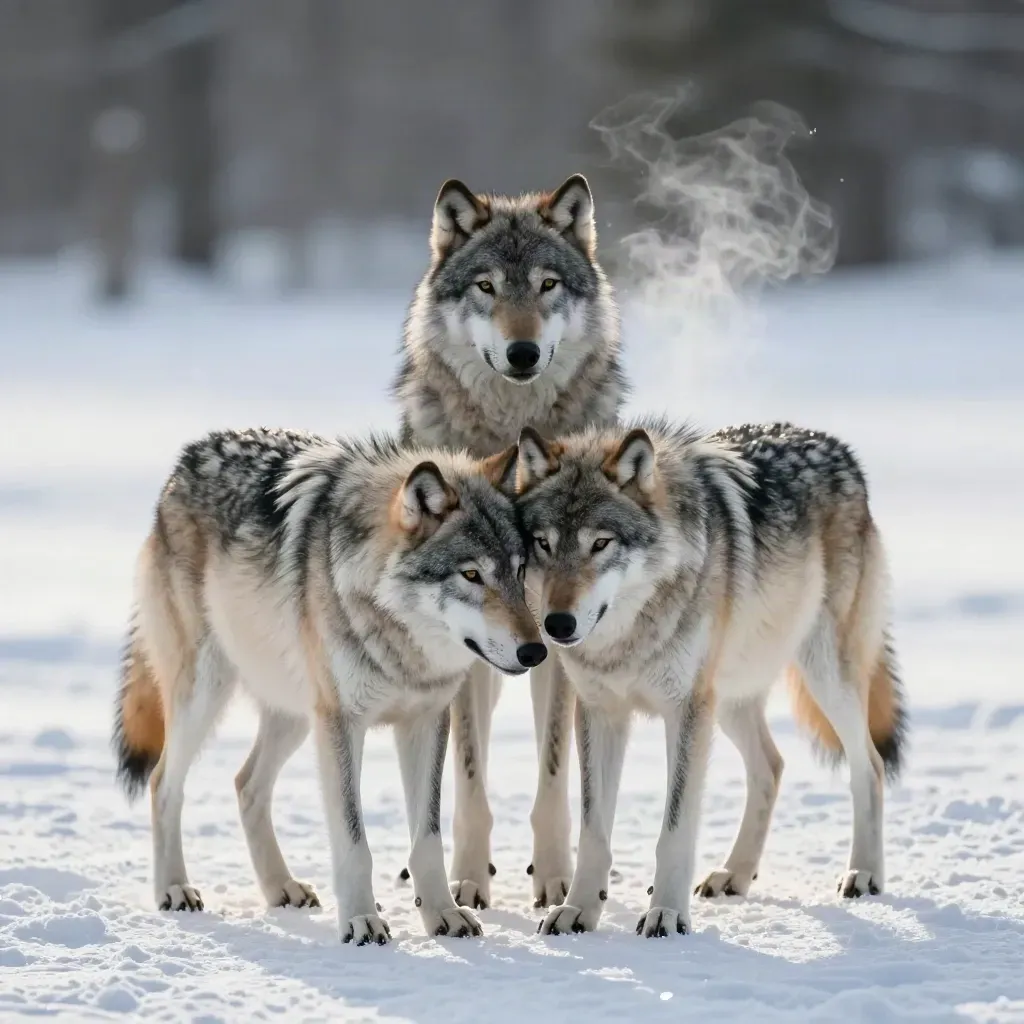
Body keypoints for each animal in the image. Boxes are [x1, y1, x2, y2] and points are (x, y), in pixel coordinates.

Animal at [112, 427, 540, 944]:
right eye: (472, 574)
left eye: (519, 571)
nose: (535, 651)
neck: (399, 642)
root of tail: (185, 463)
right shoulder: (342, 723)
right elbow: (354, 842)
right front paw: (361, 921)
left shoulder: (425, 722)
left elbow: (428, 839)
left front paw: (443, 914)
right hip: (208, 694)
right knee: (163, 783)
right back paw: (174, 888)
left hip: (296, 714)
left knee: (246, 784)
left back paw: (280, 887)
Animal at [392, 174, 627, 909]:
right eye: (487, 287)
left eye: (547, 284)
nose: (522, 352)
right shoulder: (472, 637)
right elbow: (467, 771)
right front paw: (466, 875)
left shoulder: (558, 631)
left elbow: (553, 769)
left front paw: (555, 875)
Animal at [514, 420, 907, 937]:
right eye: (543, 543)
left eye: (600, 543)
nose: (558, 624)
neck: (629, 637)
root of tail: (837, 447)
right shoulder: (600, 712)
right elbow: (593, 830)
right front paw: (578, 909)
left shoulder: (685, 710)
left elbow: (675, 828)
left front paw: (666, 914)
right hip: (729, 701)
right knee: (771, 766)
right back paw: (735, 874)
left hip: (823, 678)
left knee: (870, 766)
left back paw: (863, 873)